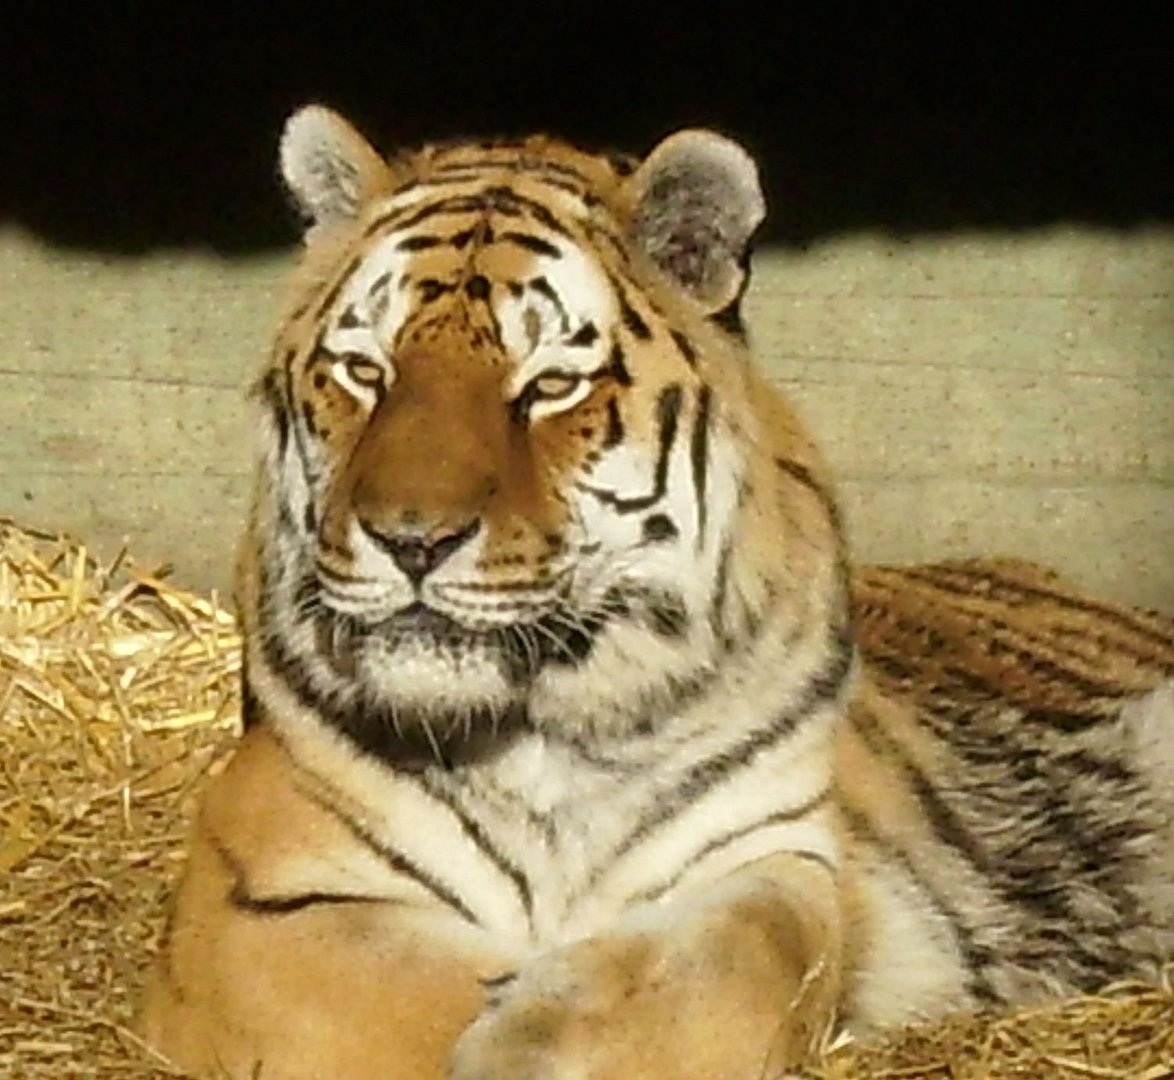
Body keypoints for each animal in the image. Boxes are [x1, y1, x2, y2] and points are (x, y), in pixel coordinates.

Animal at [139, 103, 1174, 1080]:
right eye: (365, 372)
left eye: (549, 385)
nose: (410, 540)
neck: (541, 729)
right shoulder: (253, 899)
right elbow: (408, 992)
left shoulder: (775, 858)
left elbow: (718, 966)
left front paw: (535, 1041)